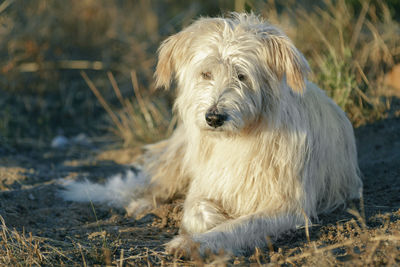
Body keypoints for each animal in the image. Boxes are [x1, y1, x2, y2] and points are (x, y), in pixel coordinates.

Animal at [61, 13, 362, 258]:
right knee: (153, 182)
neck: (237, 138)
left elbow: (242, 225)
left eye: (242, 76)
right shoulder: (205, 183)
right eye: (205, 73)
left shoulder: (287, 205)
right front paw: (211, 219)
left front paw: (198, 241)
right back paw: (142, 204)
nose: (214, 118)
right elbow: (194, 210)